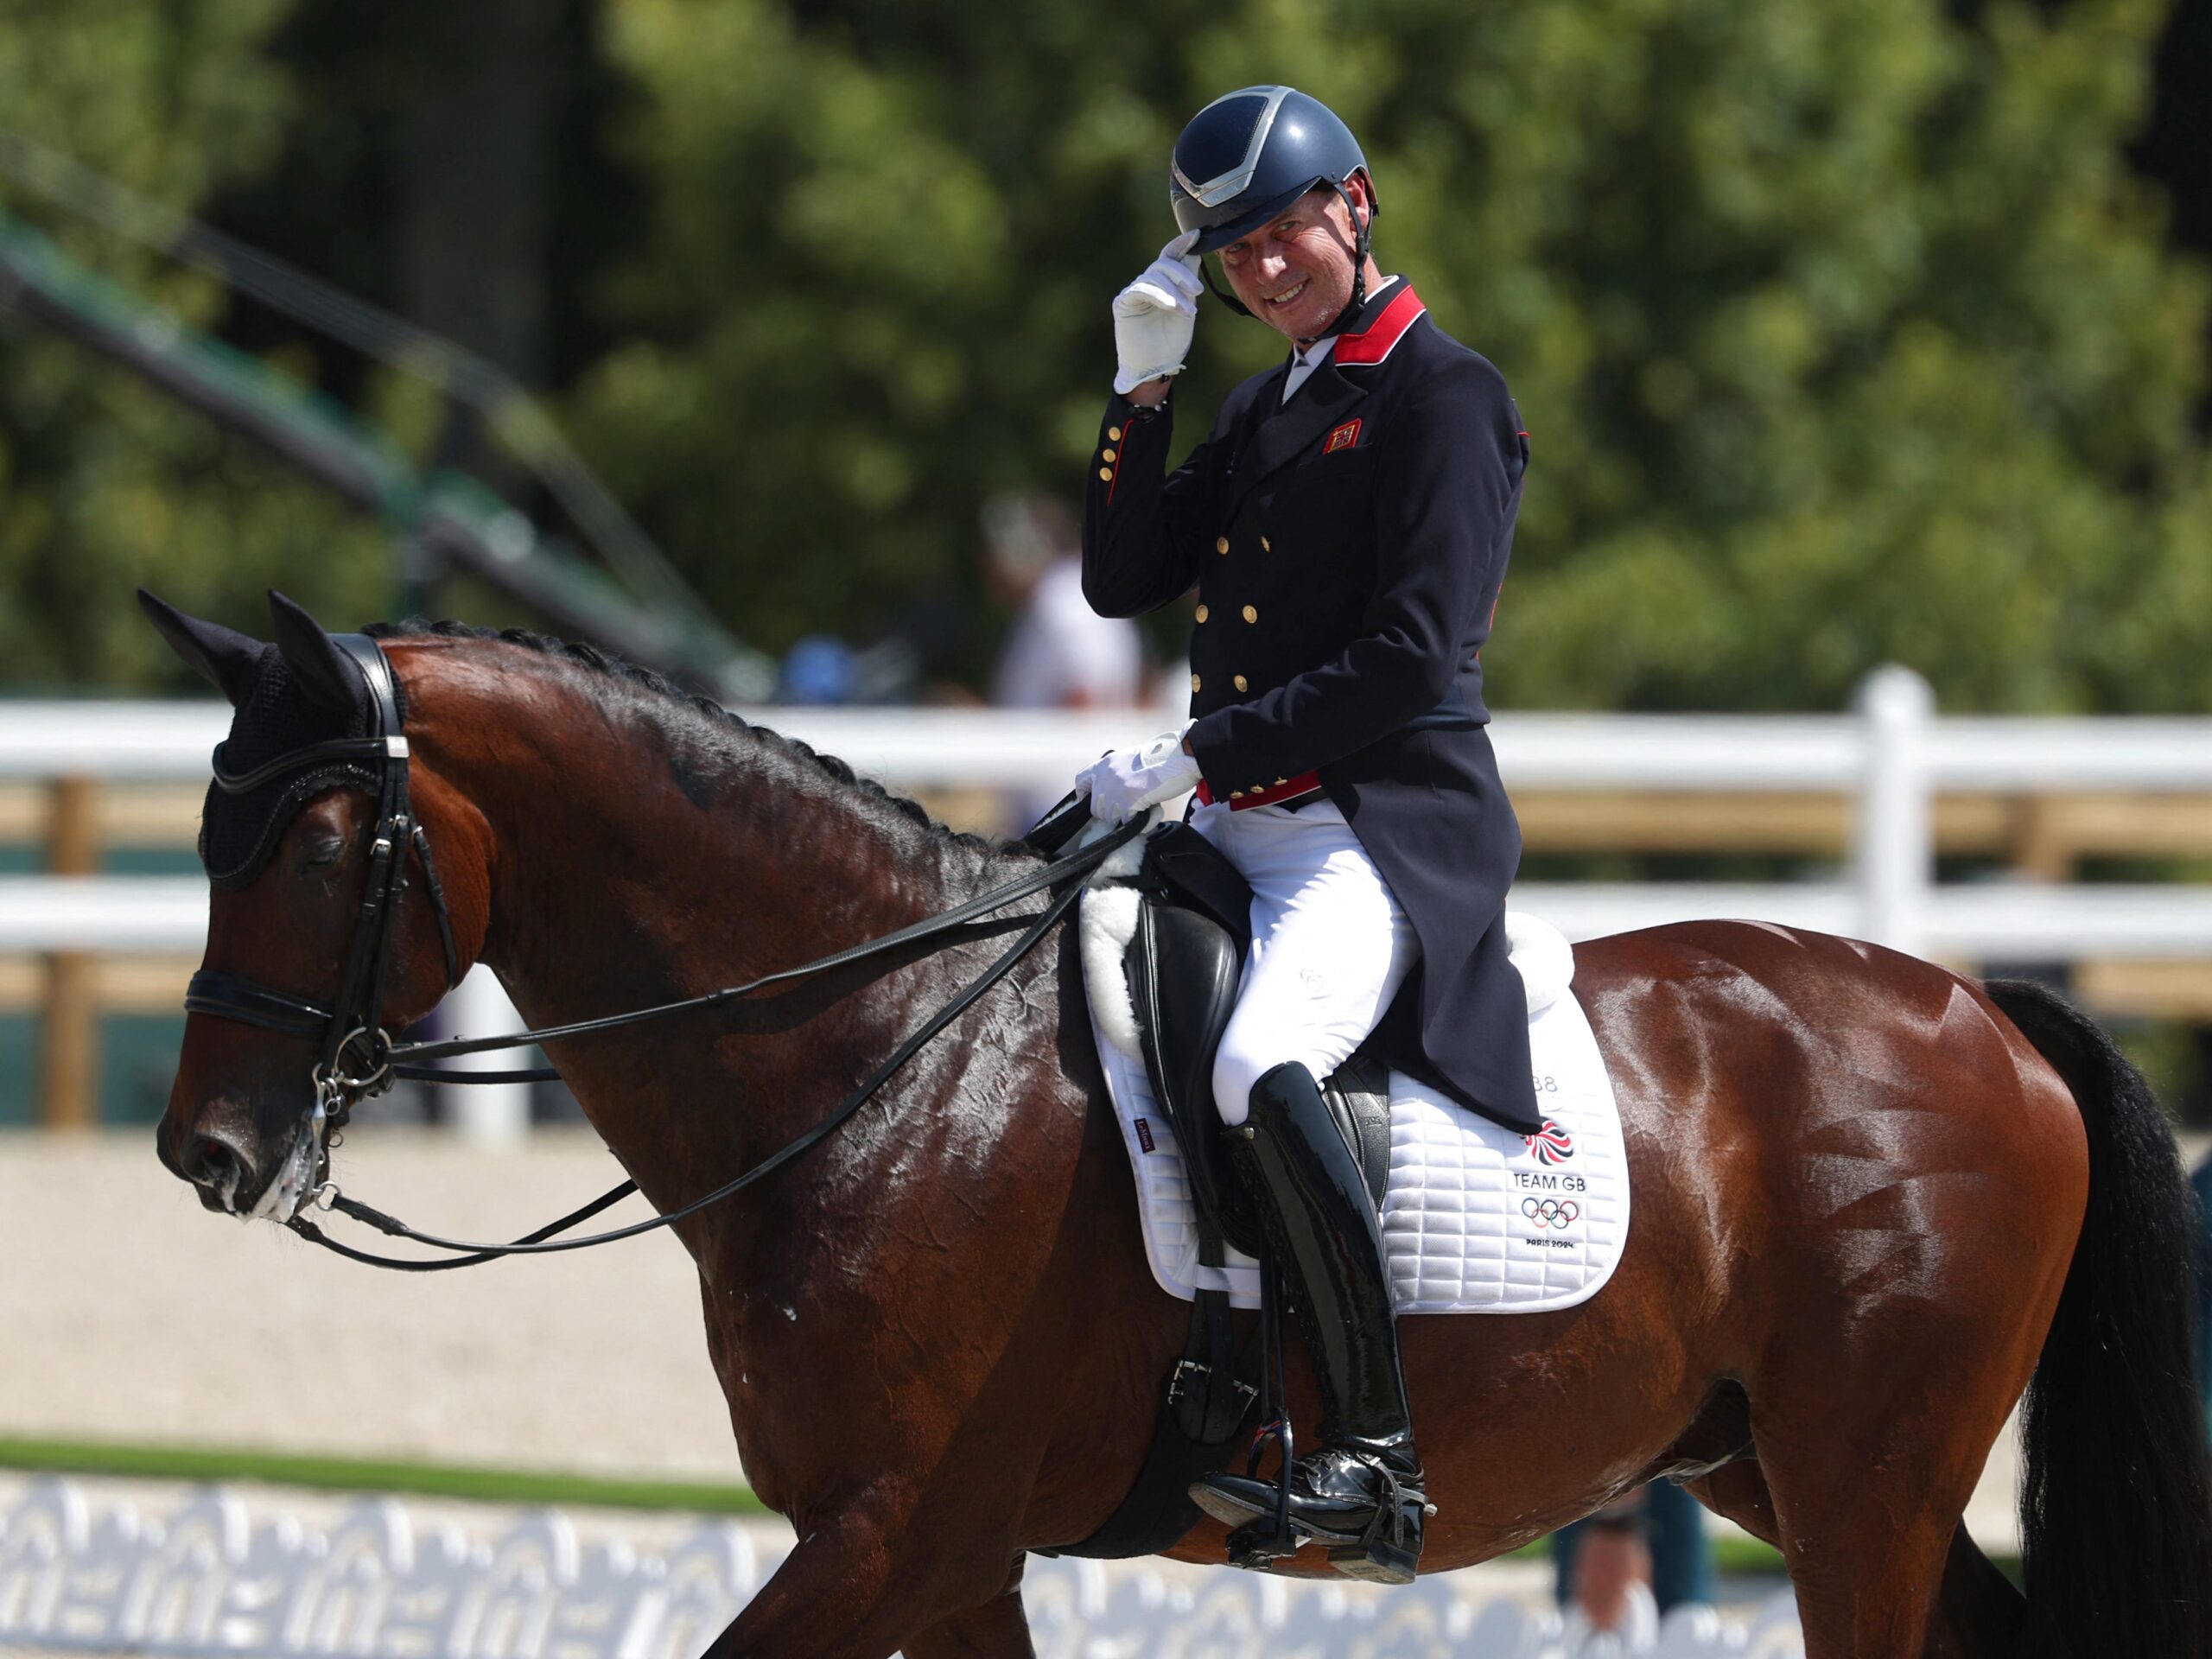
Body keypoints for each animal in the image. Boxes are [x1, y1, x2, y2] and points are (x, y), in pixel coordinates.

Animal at [151, 597, 2212, 1659]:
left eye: (317, 847)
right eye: (206, 832)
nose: (208, 1157)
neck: (876, 1056)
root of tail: (1981, 1012)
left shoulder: (888, 1530)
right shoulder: (950, 1552)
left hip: (1863, 1491)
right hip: (1775, 1474)